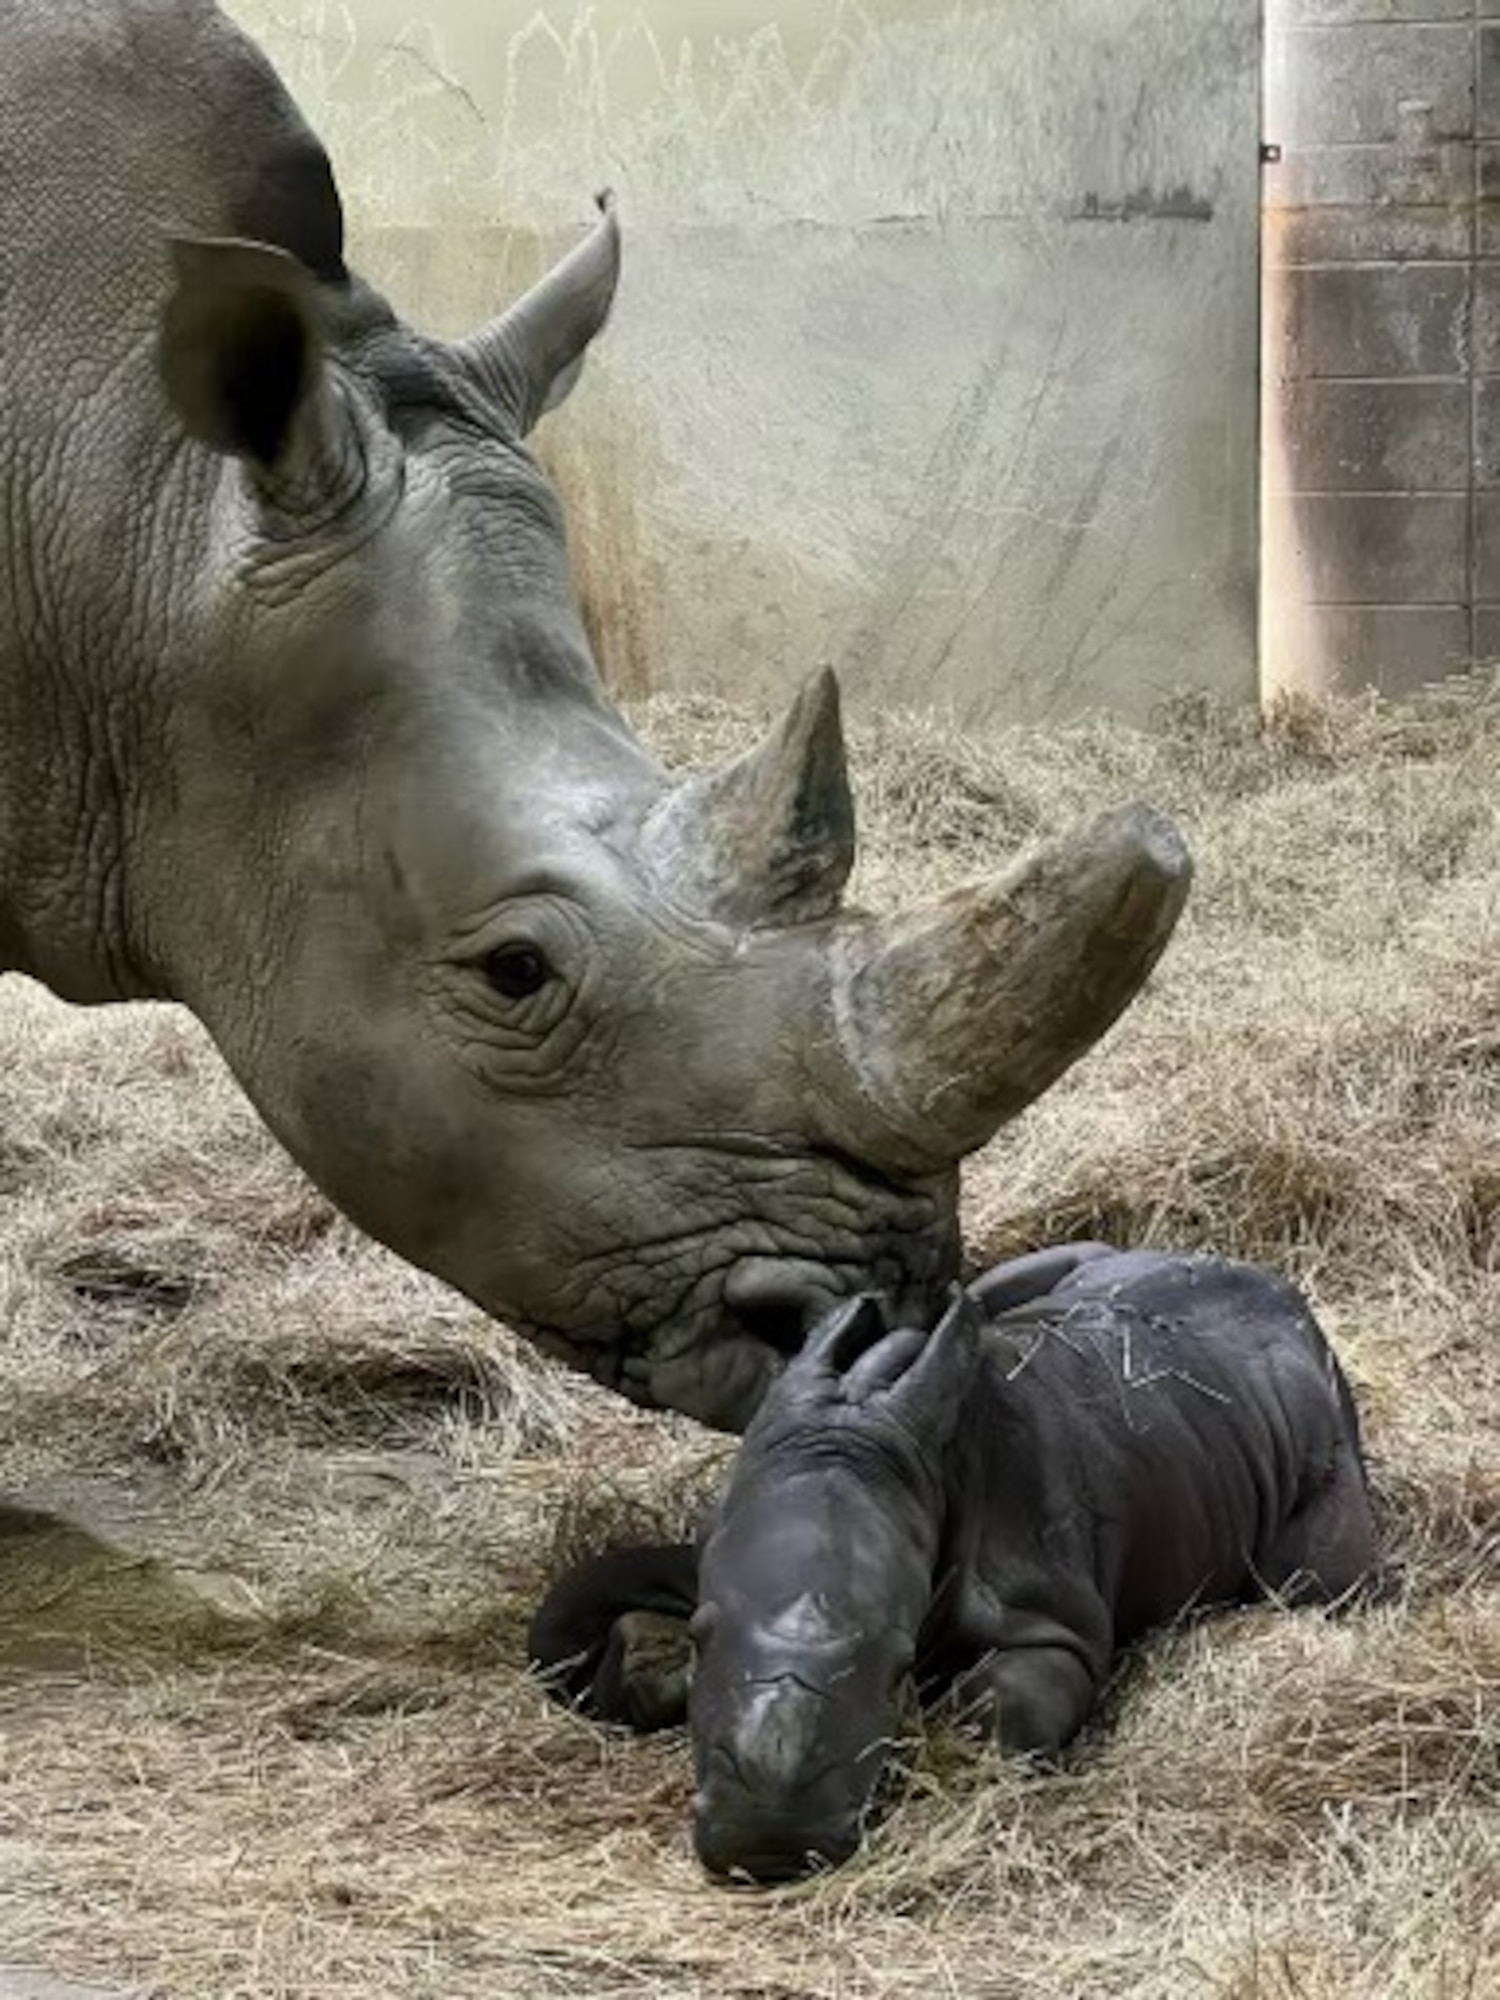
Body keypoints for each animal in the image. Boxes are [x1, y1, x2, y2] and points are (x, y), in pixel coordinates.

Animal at [529, 1245, 1376, 1877]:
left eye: (900, 1664)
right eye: (704, 1637)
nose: (767, 1844)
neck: (859, 1437)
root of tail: (1288, 1304)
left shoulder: (1051, 1618)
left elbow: (1000, 1704)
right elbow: (566, 1610)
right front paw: (647, 1667)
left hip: (1320, 1450)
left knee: (1322, 1577)